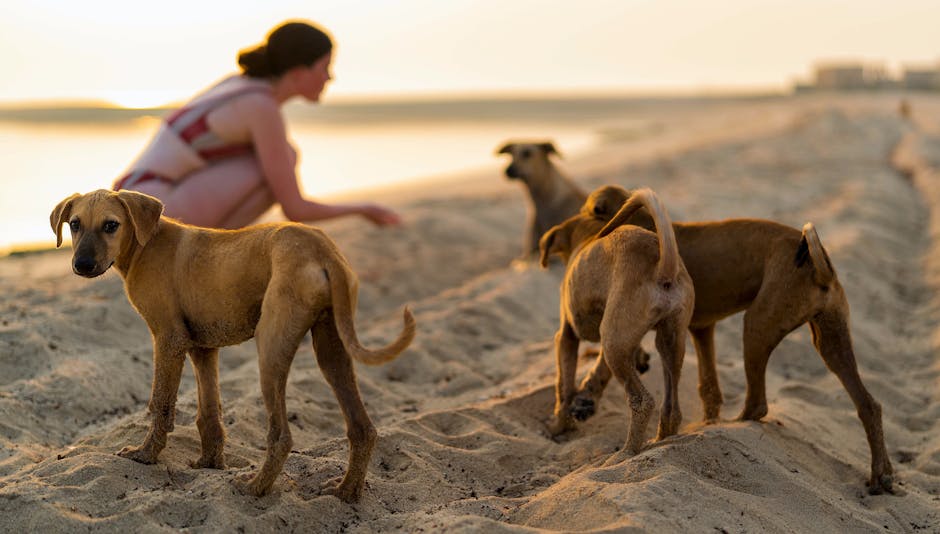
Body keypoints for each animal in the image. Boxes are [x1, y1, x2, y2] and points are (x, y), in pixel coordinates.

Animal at [50, 191, 414, 504]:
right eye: (75, 224)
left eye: (111, 225)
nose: (82, 265)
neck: (145, 243)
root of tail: (321, 249)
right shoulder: (201, 348)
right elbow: (209, 413)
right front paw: (210, 462)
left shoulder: (168, 340)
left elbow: (161, 404)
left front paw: (146, 455)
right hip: (332, 350)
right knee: (362, 429)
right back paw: (346, 492)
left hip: (270, 349)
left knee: (282, 436)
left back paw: (256, 488)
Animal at [572, 186, 896, 496]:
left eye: (590, 210)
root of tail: (819, 266)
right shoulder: (701, 329)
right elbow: (708, 390)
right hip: (831, 341)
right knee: (869, 405)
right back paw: (882, 475)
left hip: (755, 328)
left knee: (758, 404)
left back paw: (734, 425)